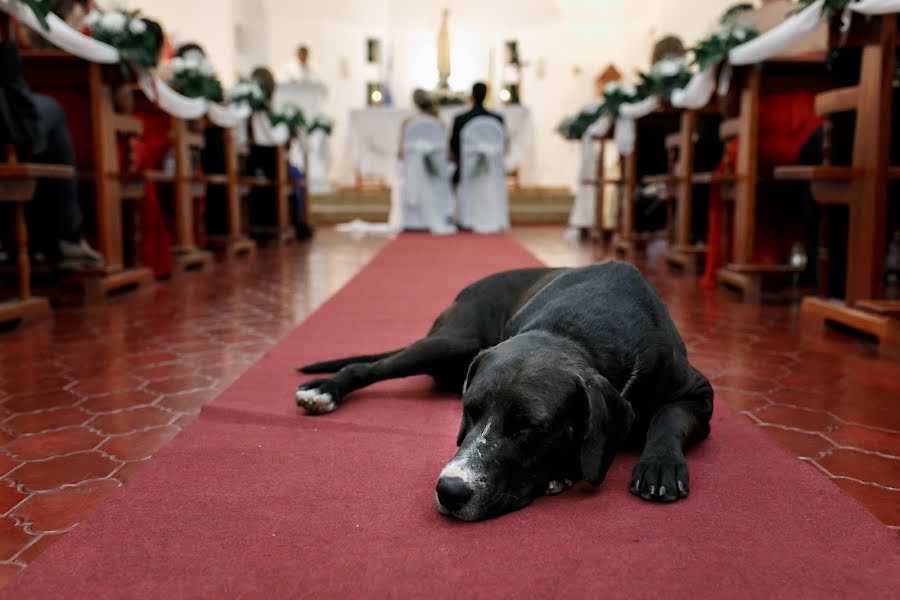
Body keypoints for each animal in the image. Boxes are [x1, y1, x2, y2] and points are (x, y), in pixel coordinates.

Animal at [298, 262, 712, 520]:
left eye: (528, 427)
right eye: (469, 410)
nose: (450, 490)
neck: (577, 331)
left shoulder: (700, 394)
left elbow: (667, 419)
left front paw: (660, 465)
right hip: (453, 341)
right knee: (366, 367)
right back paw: (325, 390)